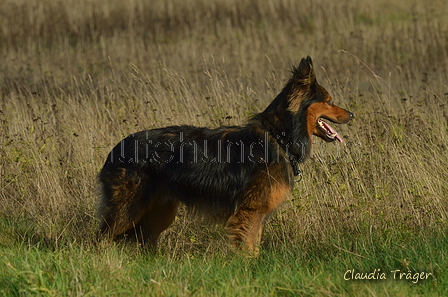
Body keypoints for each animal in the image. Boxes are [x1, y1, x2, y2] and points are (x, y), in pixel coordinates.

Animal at [97, 56, 354, 254]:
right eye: (329, 101)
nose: (352, 114)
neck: (278, 137)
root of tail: (116, 148)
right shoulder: (249, 213)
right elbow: (249, 250)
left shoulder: (255, 215)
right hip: (128, 209)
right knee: (102, 237)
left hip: (160, 212)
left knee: (144, 241)